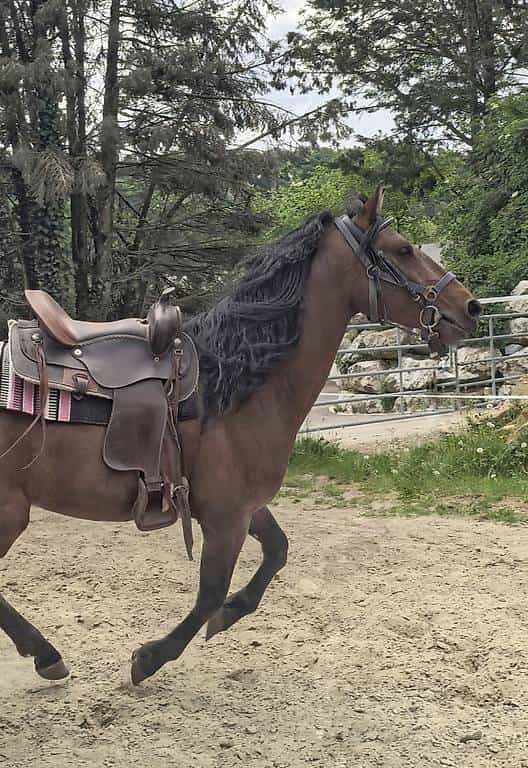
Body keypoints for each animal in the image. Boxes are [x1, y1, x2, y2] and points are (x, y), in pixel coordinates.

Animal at [0, 186, 481, 685]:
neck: (233, 384)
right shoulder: (225, 518)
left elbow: (277, 552)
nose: (471, 306)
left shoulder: (244, 508)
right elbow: (211, 592)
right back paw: (45, 653)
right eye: (403, 250)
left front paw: (229, 614)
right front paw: (150, 658)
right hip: (10, 513)